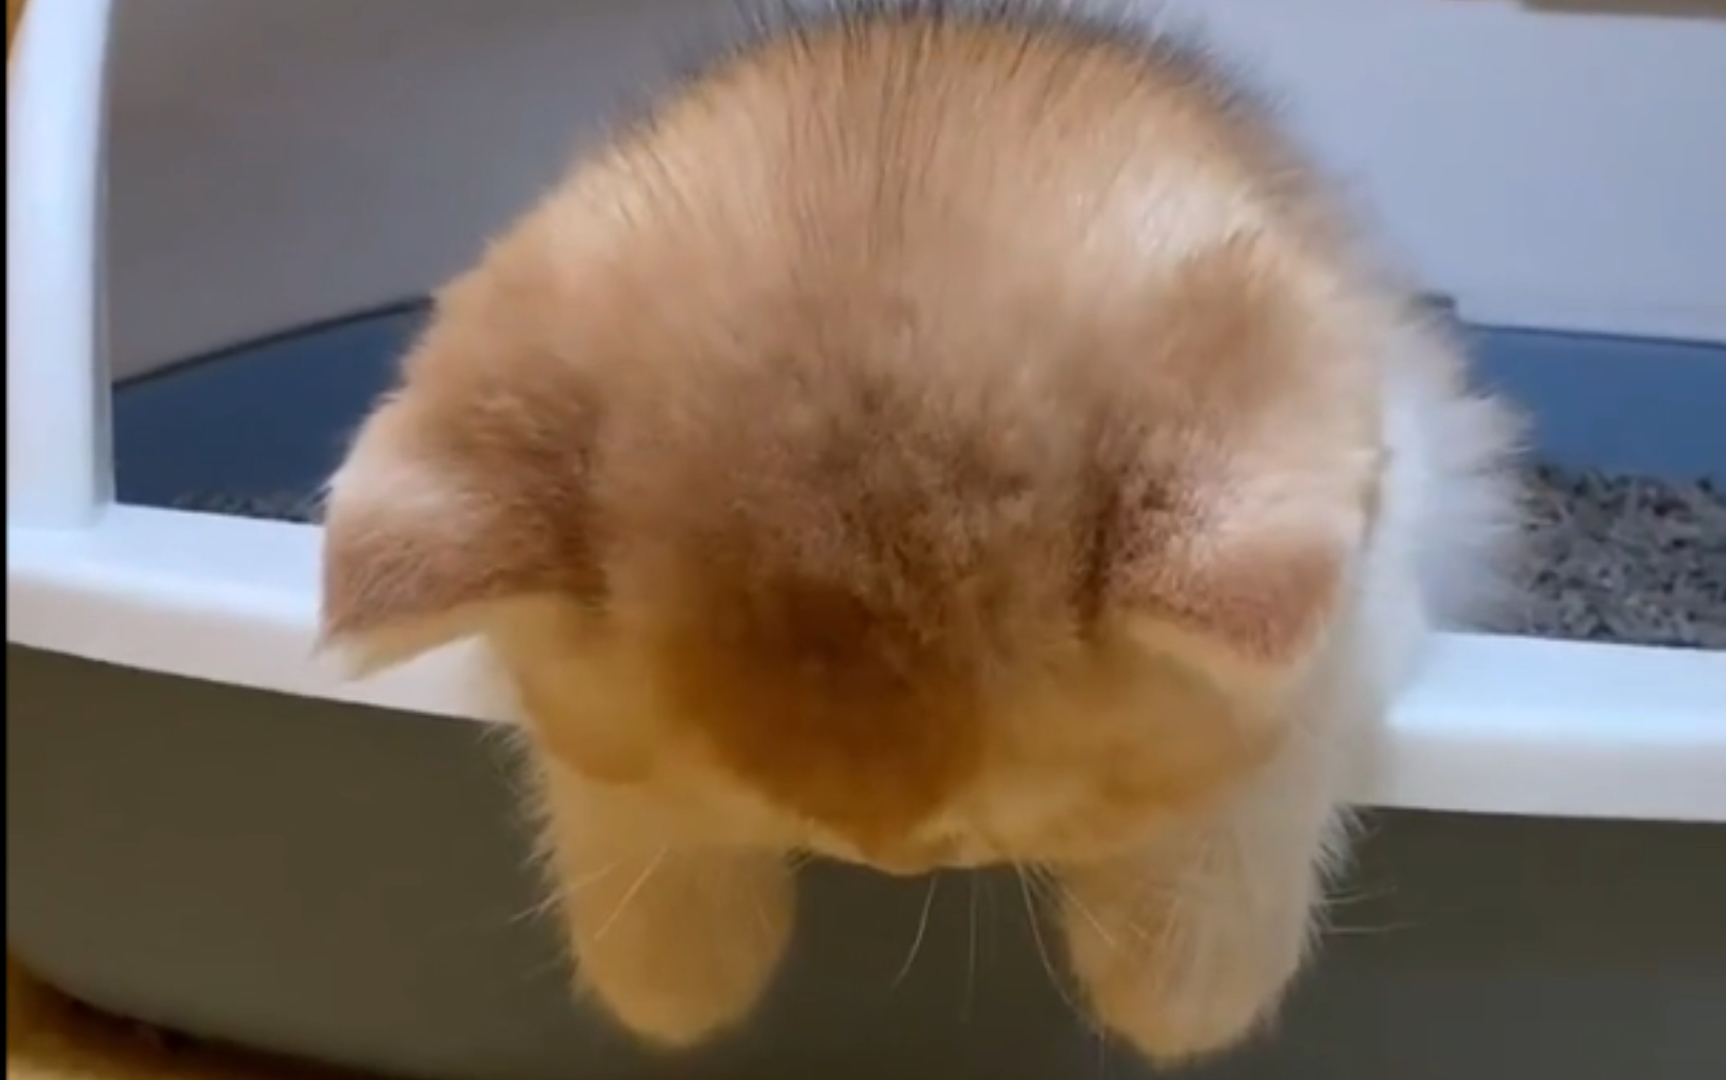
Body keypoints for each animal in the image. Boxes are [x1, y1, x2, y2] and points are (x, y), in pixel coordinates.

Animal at [318, 1, 1523, 1066]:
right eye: (777, 817)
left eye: (987, 830)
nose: (890, 866)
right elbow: (603, 789)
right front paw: (671, 952)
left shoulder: (1383, 514)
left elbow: (1280, 739)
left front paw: (1179, 971)